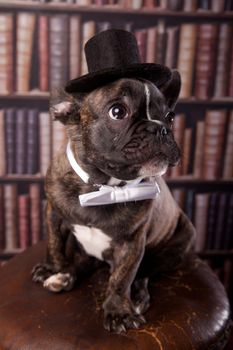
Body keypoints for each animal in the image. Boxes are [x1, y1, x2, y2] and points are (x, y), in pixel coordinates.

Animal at [31, 70, 195, 334]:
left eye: (170, 117)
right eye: (117, 112)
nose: (160, 129)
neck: (103, 188)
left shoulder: (132, 242)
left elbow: (122, 277)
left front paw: (118, 311)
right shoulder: (53, 213)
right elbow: (54, 244)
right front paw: (52, 267)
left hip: (180, 242)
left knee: (145, 271)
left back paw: (136, 297)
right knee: (84, 261)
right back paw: (64, 276)